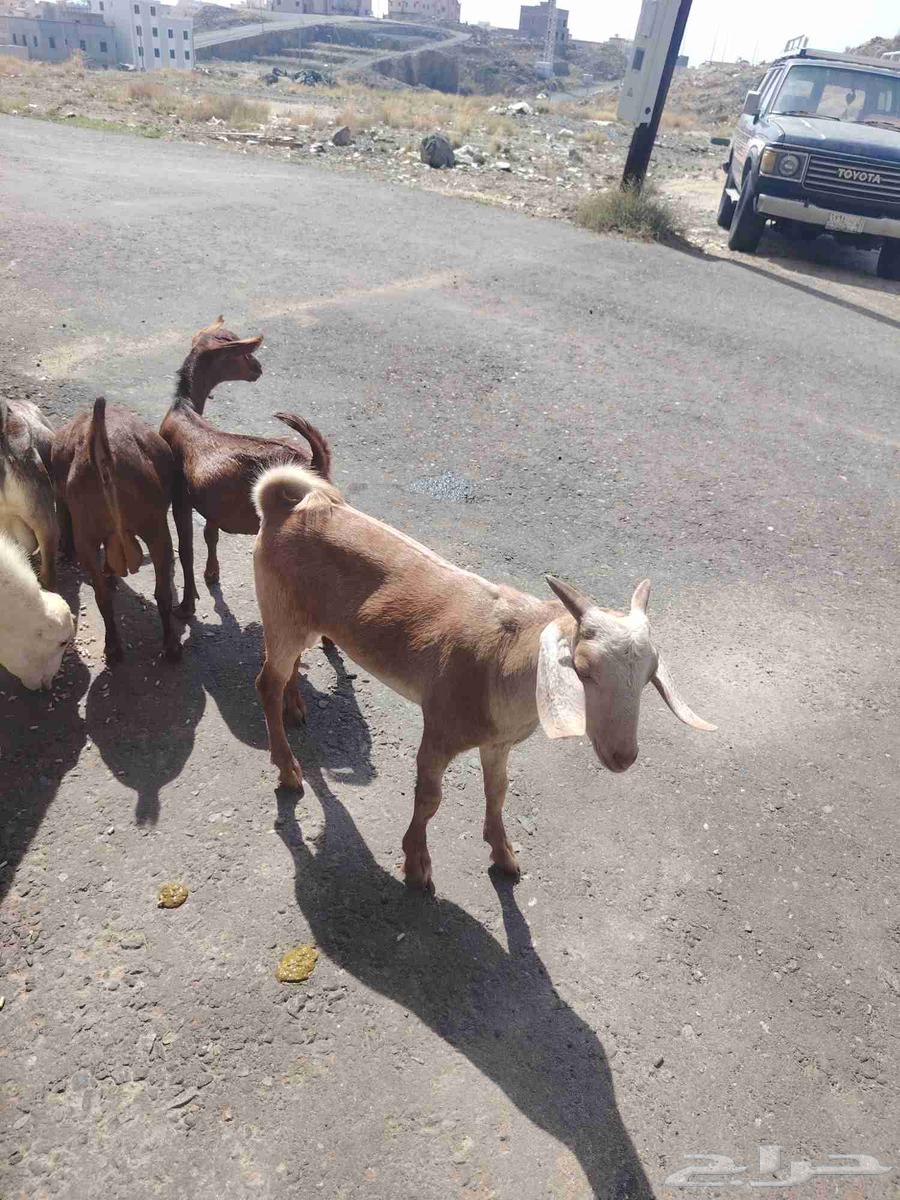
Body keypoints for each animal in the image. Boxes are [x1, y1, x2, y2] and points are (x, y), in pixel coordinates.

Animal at [51, 397, 180, 664]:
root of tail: (103, 455)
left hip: (97, 535)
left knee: (105, 596)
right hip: (155, 530)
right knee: (158, 593)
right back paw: (168, 647)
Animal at [159, 316, 332, 619]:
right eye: (240, 354)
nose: (258, 368)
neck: (184, 408)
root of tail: (315, 463)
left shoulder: (179, 495)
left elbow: (186, 548)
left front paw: (187, 605)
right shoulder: (211, 503)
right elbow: (209, 535)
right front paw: (211, 574)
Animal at [252, 465, 716, 895]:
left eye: (649, 677)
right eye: (582, 670)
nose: (623, 757)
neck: (504, 662)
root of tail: (282, 507)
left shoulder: (498, 742)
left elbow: (498, 791)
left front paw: (504, 856)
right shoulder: (439, 729)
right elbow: (430, 799)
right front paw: (417, 866)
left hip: (298, 621)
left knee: (287, 668)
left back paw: (296, 709)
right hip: (279, 609)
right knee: (266, 683)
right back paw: (288, 769)